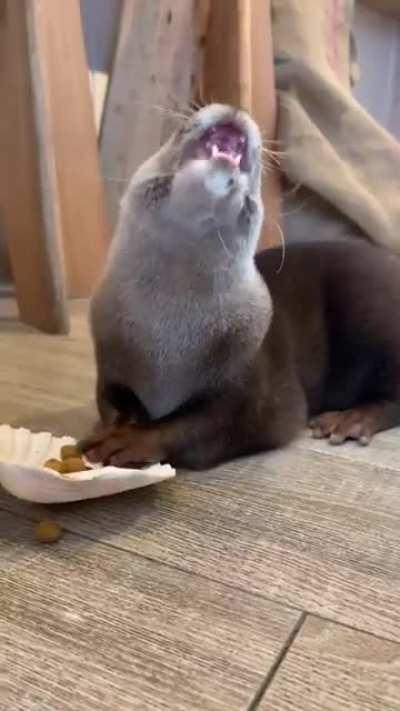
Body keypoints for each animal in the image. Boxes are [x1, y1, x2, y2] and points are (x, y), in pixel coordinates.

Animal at [82, 104, 400, 470]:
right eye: (178, 131)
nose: (236, 108)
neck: (166, 340)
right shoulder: (111, 359)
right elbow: (108, 402)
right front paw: (111, 428)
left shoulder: (257, 375)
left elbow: (209, 424)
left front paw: (134, 440)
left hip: (374, 312)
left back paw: (352, 419)